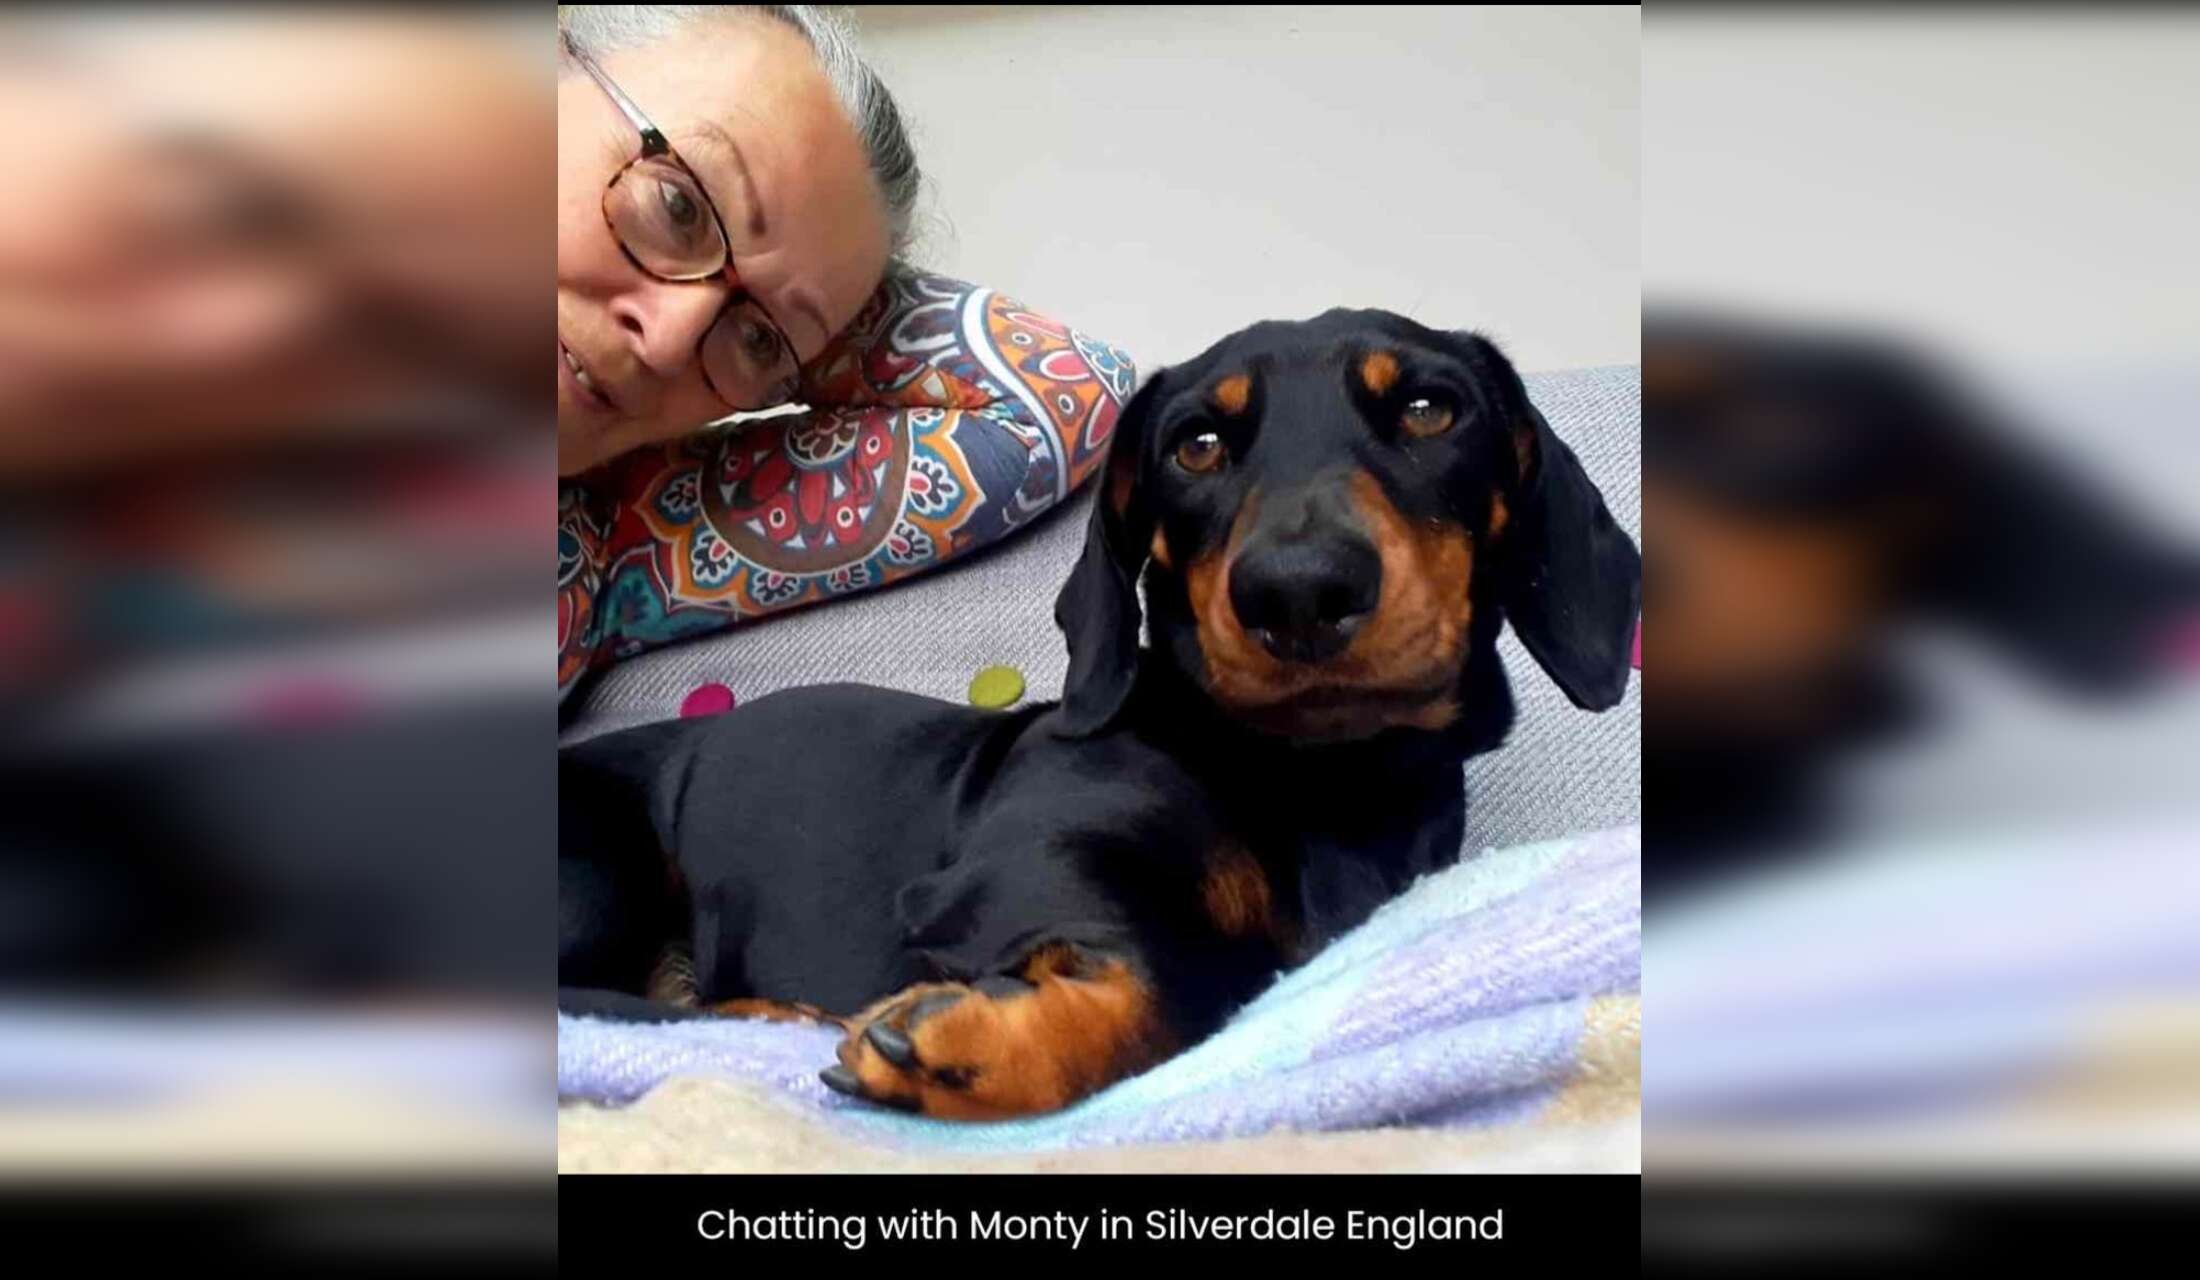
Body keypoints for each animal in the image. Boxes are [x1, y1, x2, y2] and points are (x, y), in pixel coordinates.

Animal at [559, 309, 1641, 1119]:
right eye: (1196, 443)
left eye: (1427, 408)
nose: (1297, 592)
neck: (1314, 773)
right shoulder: (1025, 864)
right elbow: (1187, 977)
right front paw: (978, 1039)